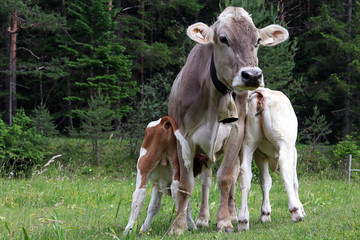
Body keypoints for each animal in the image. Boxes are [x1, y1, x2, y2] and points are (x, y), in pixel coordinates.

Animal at [169, 7, 290, 234]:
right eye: (223, 39)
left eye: (257, 40)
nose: (252, 75)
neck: (215, 95)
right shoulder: (184, 139)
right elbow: (186, 185)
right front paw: (178, 226)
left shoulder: (236, 134)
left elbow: (225, 179)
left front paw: (224, 221)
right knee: (206, 182)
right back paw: (202, 218)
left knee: (233, 178)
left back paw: (233, 215)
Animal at [238, 87, 306, 231]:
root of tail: (262, 93)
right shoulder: (294, 151)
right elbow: (295, 181)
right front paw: (301, 208)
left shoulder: (260, 156)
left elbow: (265, 182)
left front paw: (265, 213)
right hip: (285, 143)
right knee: (286, 172)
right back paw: (296, 211)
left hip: (248, 144)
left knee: (245, 175)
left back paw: (243, 220)